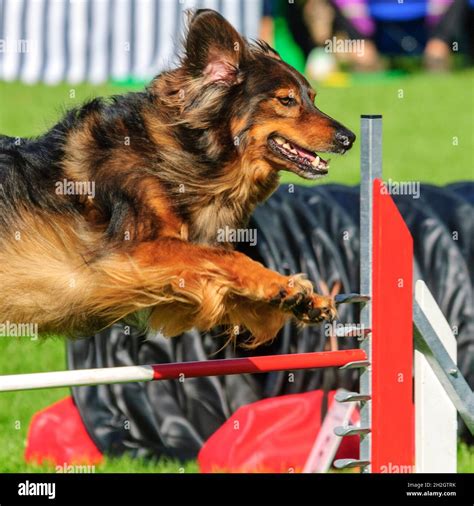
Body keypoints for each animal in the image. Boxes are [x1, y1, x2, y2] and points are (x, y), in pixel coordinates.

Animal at [0, 8, 356, 348]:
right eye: (286, 100)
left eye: (312, 98)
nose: (348, 138)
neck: (190, 156)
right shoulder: (126, 256)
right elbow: (224, 257)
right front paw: (281, 285)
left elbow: (225, 278)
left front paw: (303, 299)